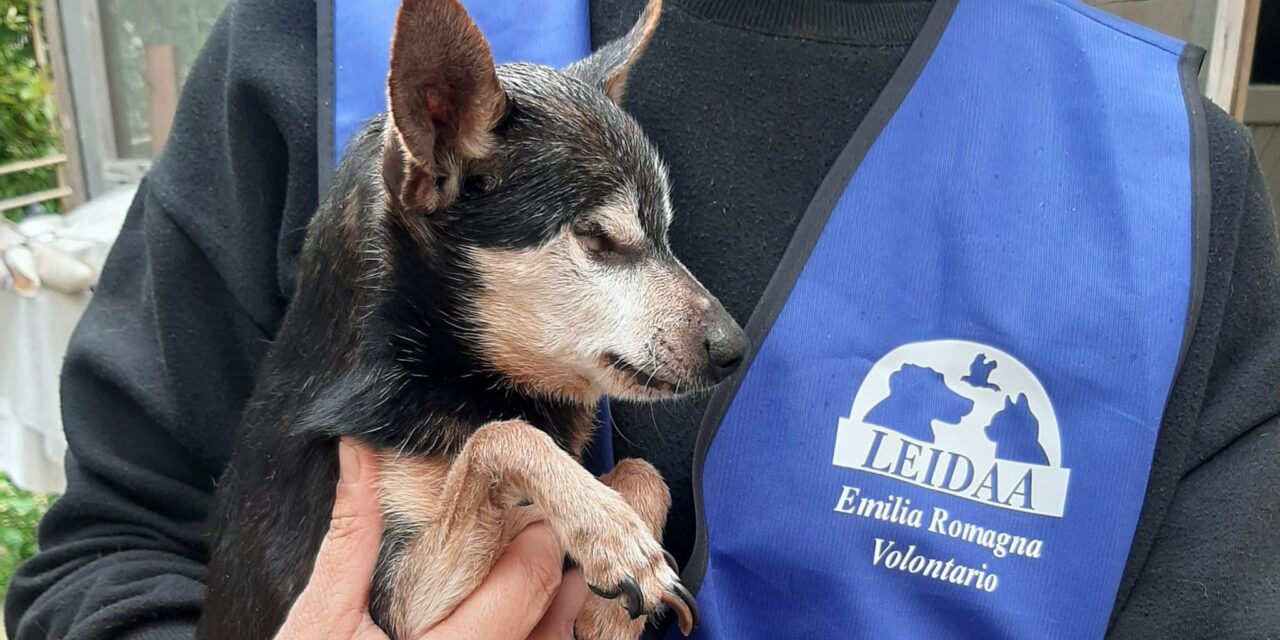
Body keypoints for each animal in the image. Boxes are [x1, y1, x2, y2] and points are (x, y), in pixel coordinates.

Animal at [194, 1, 747, 640]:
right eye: (597, 238)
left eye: (665, 237)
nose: (736, 348)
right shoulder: (399, 605)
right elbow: (501, 435)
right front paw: (612, 538)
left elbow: (639, 469)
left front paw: (607, 607)